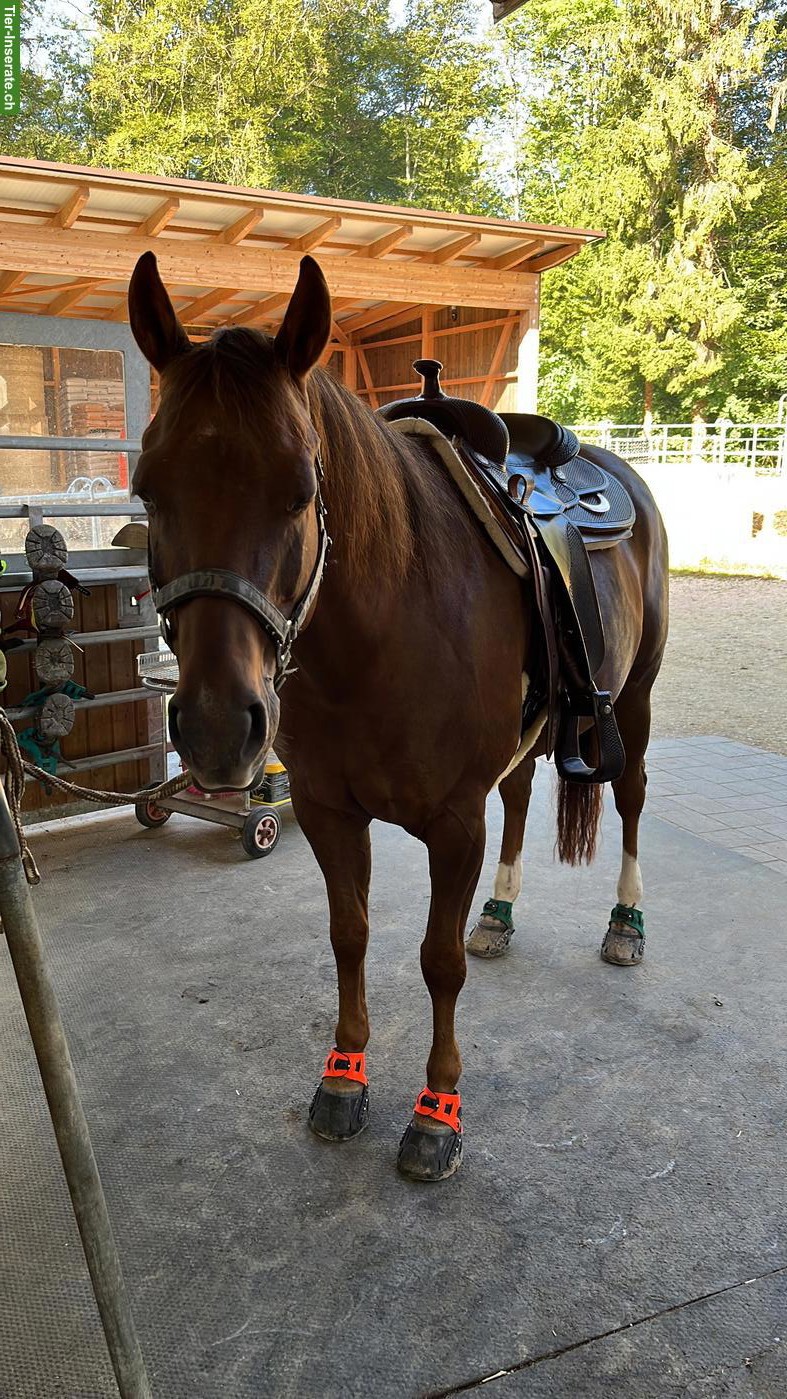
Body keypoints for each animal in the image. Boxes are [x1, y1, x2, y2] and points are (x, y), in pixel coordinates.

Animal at [128, 251, 669, 1182]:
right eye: (147, 487)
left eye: (301, 487)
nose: (214, 726)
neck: (379, 631)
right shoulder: (326, 810)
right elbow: (350, 935)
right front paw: (343, 1076)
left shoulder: (451, 825)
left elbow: (436, 962)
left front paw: (436, 1111)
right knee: (519, 796)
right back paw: (498, 913)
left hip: (630, 701)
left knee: (628, 797)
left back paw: (623, 925)